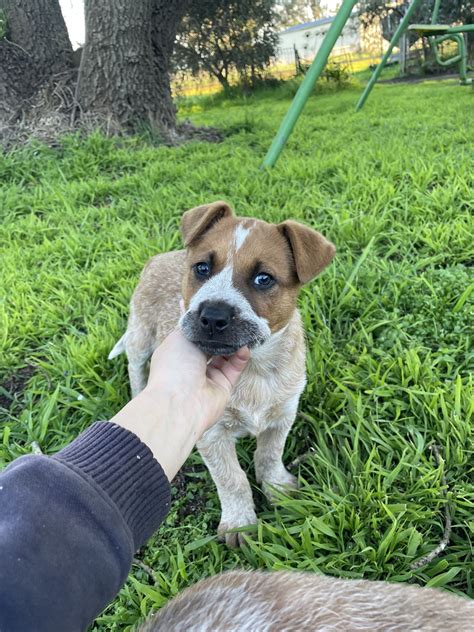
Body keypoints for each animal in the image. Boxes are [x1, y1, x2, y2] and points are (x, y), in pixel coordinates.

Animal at [109, 202, 336, 548]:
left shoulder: (283, 414)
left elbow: (269, 455)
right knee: (135, 367)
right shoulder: (211, 434)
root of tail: (161, 256)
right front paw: (239, 524)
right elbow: (232, 479)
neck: (254, 369)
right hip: (140, 335)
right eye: (202, 268)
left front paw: (278, 489)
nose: (213, 316)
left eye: (263, 278)